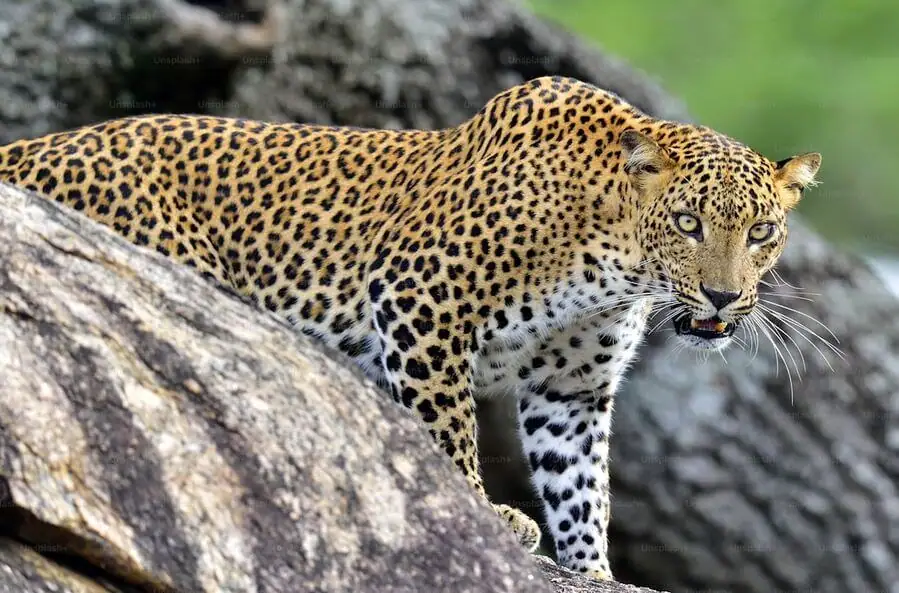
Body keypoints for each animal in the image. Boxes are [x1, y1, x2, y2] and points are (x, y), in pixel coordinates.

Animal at [0, 76, 820, 581]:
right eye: (688, 224)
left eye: (761, 233)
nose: (722, 296)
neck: (616, 260)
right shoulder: (422, 302)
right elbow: (446, 431)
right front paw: (487, 517)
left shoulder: (572, 387)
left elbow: (582, 486)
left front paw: (591, 570)